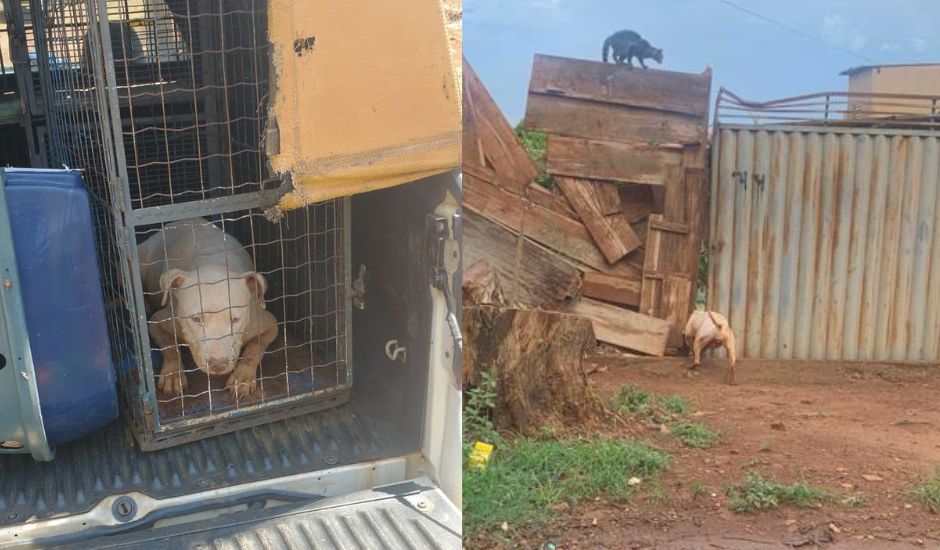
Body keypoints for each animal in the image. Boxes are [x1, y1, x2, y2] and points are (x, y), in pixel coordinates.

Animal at [139, 218, 280, 398]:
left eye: (235, 319)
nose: (218, 364)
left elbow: (254, 349)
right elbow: (169, 345)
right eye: (196, 319)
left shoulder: (268, 323)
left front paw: (242, 377)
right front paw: (173, 374)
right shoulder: (158, 322)